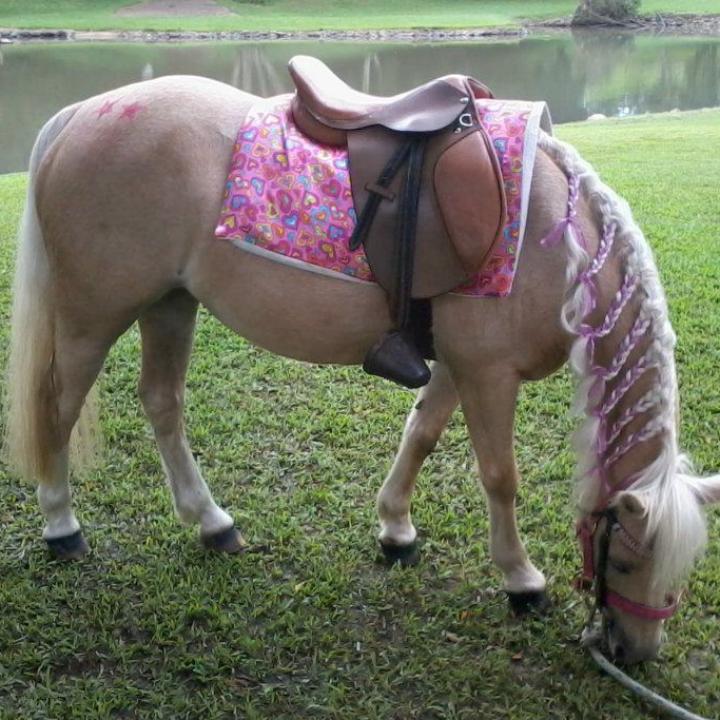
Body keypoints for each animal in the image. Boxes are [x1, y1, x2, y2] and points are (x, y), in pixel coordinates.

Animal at [6, 73, 719, 666]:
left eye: (683, 569)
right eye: (625, 561)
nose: (636, 653)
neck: (555, 236)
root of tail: (83, 112)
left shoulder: (456, 363)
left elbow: (421, 435)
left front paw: (396, 529)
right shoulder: (489, 371)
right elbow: (500, 477)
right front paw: (521, 579)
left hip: (171, 303)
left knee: (161, 402)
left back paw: (212, 523)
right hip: (95, 312)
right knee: (58, 407)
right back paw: (62, 525)